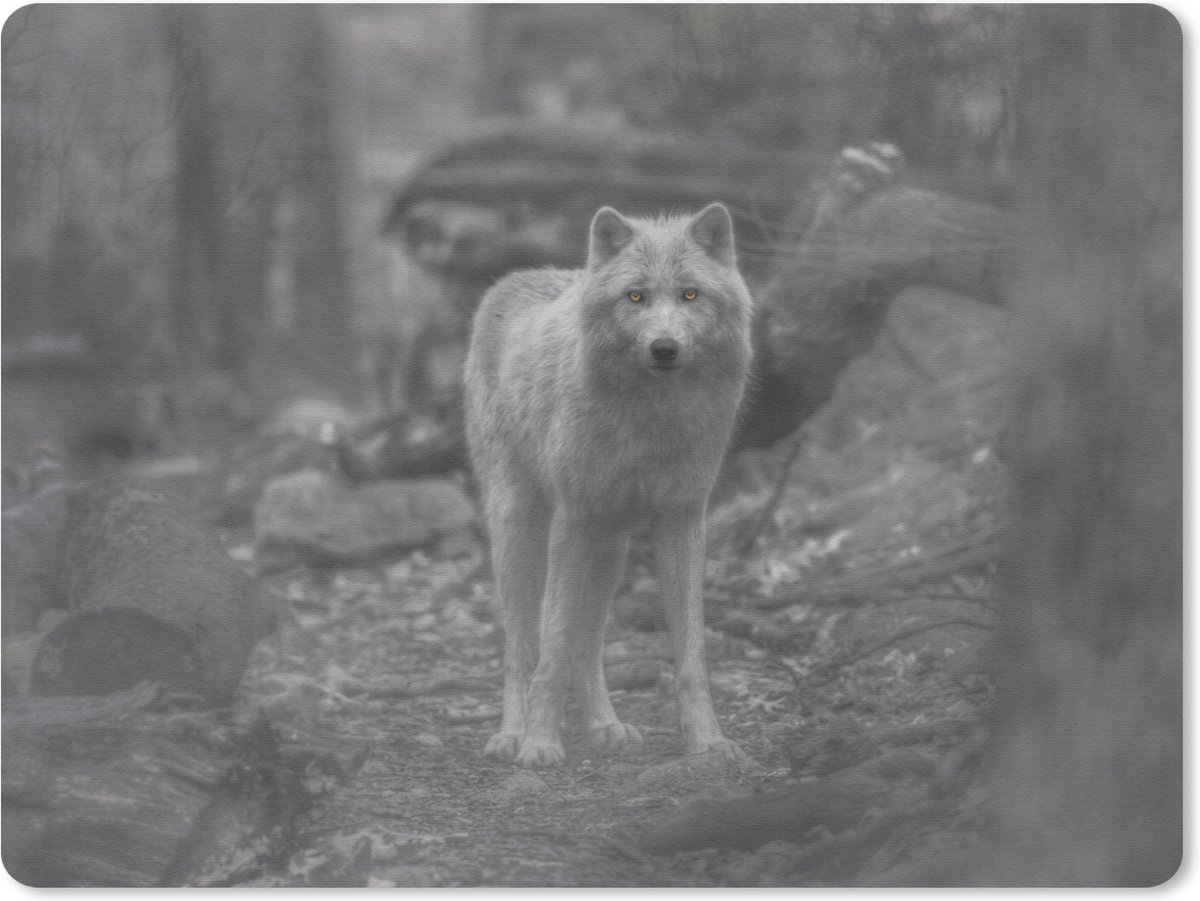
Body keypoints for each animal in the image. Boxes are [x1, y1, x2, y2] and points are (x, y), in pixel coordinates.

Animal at [464, 202, 754, 767]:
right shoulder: (573, 521)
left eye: (690, 294)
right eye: (635, 296)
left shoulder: (682, 520)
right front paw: (539, 744)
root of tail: (512, 279)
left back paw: (606, 726)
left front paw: (708, 743)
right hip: (520, 527)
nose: (664, 348)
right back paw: (511, 735)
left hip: (611, 547)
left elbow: (690, 654)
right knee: (520, 645)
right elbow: (551, 649)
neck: (652, 420)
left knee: (588, 643)